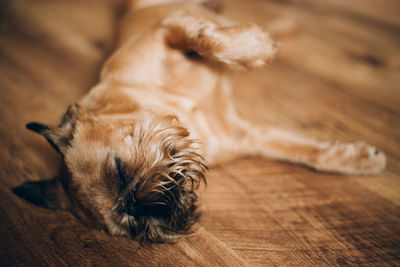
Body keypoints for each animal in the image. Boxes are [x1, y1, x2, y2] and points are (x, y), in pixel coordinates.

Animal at [14, 0, 386, 244]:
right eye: (130, 225)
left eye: (119, 170)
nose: (138, 203)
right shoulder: (251, 137)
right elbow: (306, 153)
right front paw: (358, 161)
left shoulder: (167, 29)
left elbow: (204, 39)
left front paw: (252, 47)